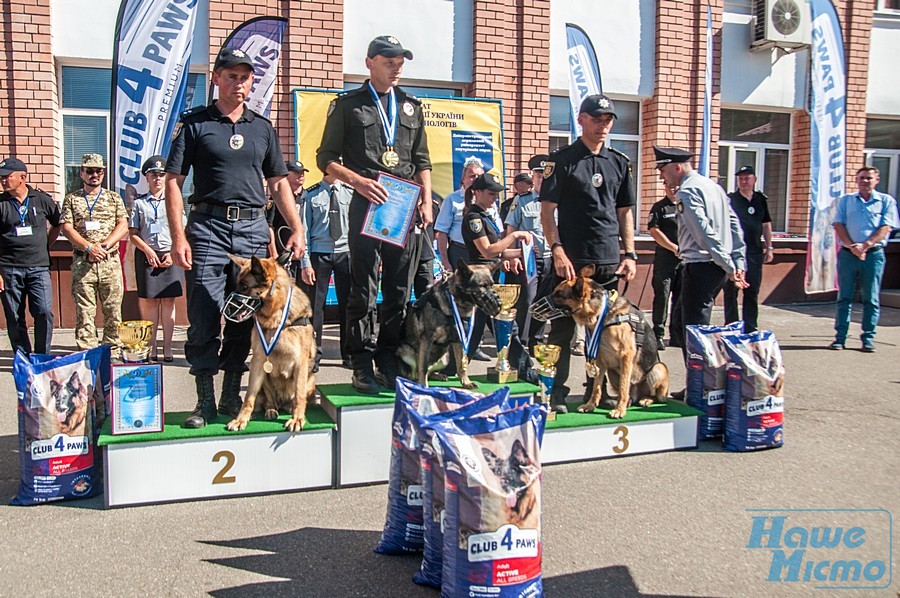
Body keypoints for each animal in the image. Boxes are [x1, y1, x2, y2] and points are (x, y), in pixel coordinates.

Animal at [225, 255, 316, 434]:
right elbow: (249, 397)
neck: (276, 314)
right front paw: (240, 419)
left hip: (311, 379)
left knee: (295, 397)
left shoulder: (301, 364)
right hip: (264, 378)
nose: (226, 310)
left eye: (245, 287)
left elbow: (299, 394)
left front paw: (297, 419)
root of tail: (282, 402)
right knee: (269, 400)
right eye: (237, 285)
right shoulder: (258, 361)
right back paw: (271, 409)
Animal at [398, 260, 502, 392]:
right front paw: (424, 386)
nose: (499, 303)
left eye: (492, 285)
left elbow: (462, 365)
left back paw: (438, 375)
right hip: (406, 352)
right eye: (482, 285)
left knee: (429, 371)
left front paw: (466, 382)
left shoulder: (459, 340)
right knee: (414, 372)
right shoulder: (427, 339)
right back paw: (414, 380)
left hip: (445, 358)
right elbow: (424, 367)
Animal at [548, 264, 668, 420]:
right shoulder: (599, 359)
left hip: (658, 369)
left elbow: (623, 388)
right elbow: (596, 387)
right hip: (612, 372)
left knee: (656, 396)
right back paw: (630, 401)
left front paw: (619, 410)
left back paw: (645, 399)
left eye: (559, 294)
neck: (602, 312)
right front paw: (590, 406)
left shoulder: (626, 356)